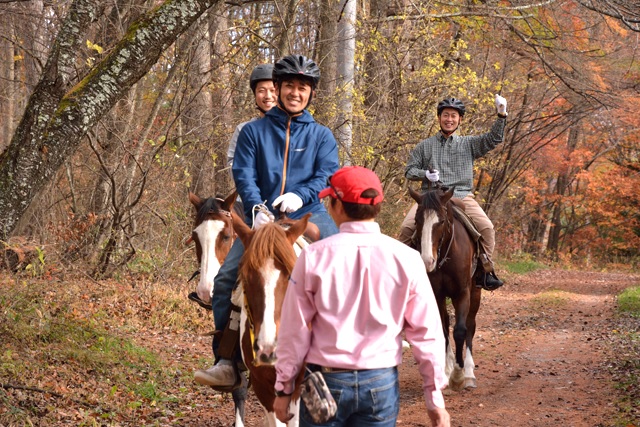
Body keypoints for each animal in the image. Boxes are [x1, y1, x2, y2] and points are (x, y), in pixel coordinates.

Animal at [410, 187, 480, 392]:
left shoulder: (463, 293)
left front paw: (458, 376)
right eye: (417, 220)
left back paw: (469, 374)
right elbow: (443, 328)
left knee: (471, 326)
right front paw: (448, 372)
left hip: (476, 292)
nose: (427, 261)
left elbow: (460, 330)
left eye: (440, 221)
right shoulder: (437, 294)